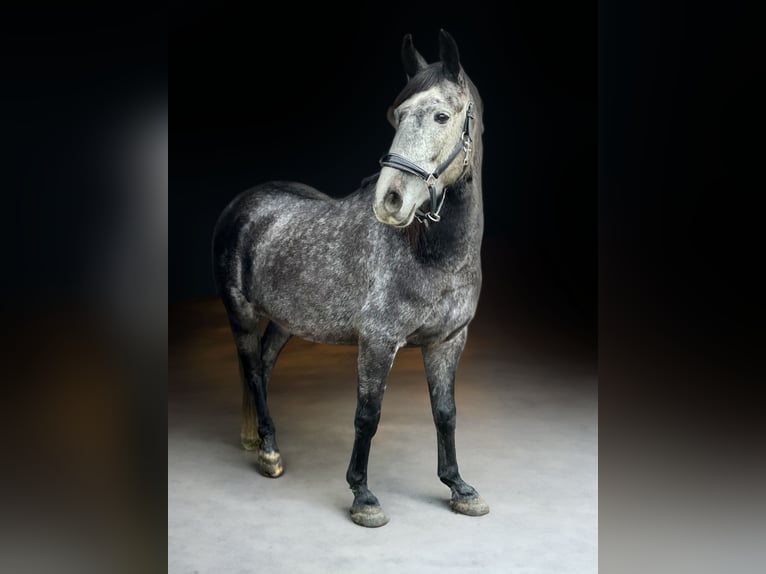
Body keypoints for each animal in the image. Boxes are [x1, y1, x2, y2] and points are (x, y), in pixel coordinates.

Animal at [213, 29, 488, 528]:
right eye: (397, 115)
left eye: (441, 116)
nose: (391, 200)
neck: (432, 253)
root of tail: (243, 203)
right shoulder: (378, 342)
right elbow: (367, 415)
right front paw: (362, 496)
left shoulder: (448, 341)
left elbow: (445, 413)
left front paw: (459, 486)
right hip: (240, 312)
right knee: (253, 371)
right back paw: (269, 453)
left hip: (285, 320)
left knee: (264, 364)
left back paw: (262, 442)